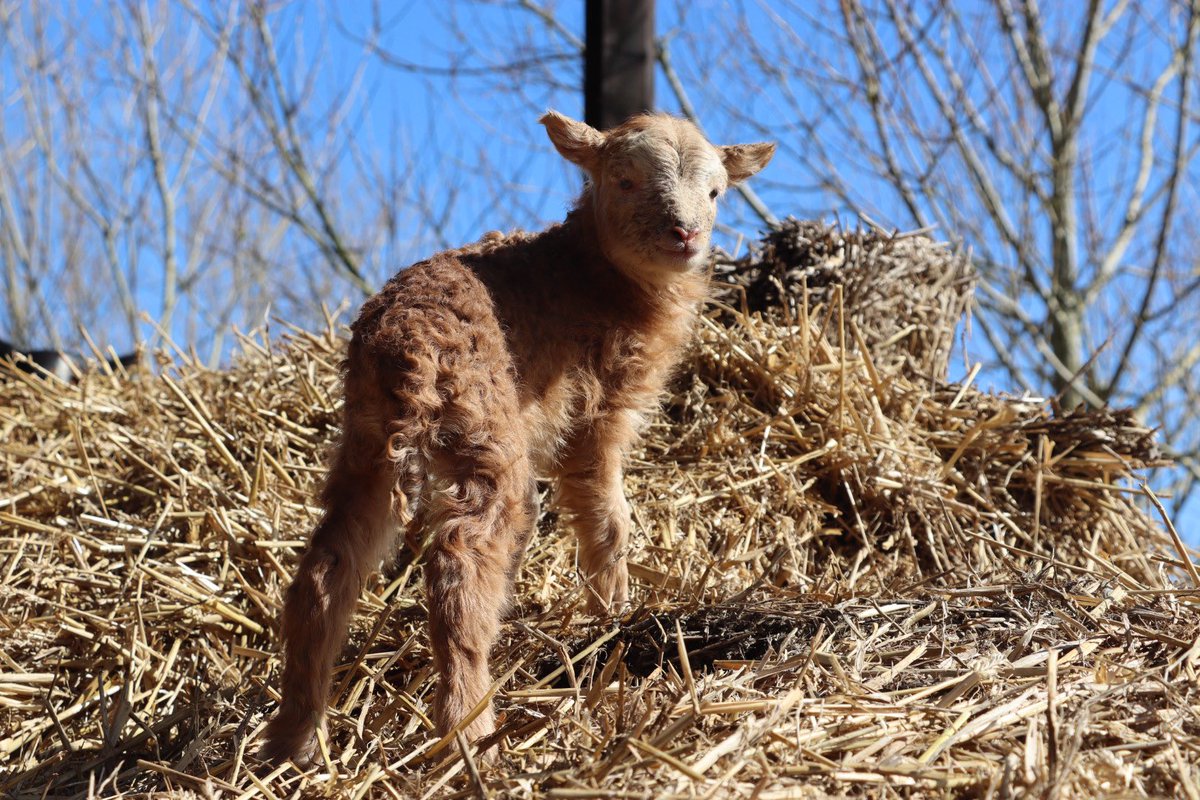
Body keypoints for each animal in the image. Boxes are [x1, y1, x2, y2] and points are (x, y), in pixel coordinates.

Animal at [260, 110, 774, 766]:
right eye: (625, 180)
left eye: (715, 193)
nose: (684, 235)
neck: (595, 273)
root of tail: (405, 346)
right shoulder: (601, 411)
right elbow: (608, 518)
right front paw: (614, 613)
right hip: (483, 431)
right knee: (461, 560)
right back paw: (469, 730)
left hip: (367, 439)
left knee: (327, 566)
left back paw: (294, 737)